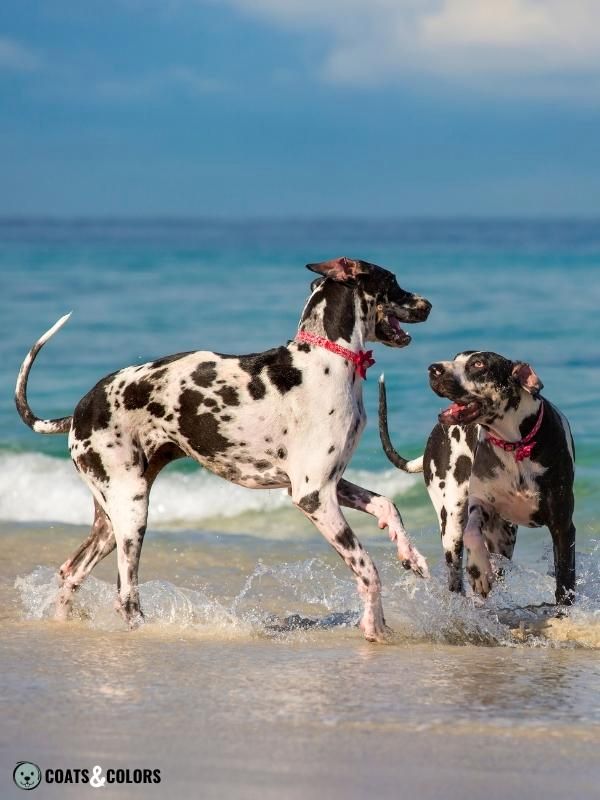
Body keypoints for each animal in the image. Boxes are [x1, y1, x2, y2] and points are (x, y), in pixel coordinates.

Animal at [16, 256, 432, 644]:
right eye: (392, 281)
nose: (428, 304)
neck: (326, 361)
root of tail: (77, 412)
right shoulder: (313, 496)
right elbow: (367, 569)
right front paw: (374, 628)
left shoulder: (331, 484)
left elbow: (388, 505)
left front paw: (410, 555)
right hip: (132, 511)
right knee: (126, 596)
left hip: (110, 520)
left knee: (71, 572)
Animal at [380, 352, 576, 608]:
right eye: (456, 358)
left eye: (478, 364)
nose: (433, 369)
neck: (514, 446)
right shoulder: (480, 504)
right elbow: (472, 533)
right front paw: (478, 570)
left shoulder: (562, 526)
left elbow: (564, 578)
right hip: (453, 522)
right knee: (455, 574)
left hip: (504, 538)